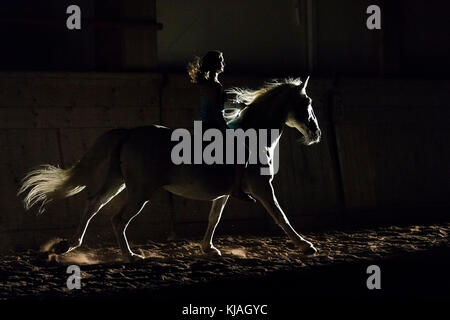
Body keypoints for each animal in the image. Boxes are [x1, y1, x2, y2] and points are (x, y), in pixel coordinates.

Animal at [17, 76, 320, 262]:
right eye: (306, 103)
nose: (315, 133)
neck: (253, 136)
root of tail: (129, 133)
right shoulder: (261, 188)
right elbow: (281, 216)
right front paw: (305, 245)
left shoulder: (224, 194)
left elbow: (214, 219)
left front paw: (209, 249)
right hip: (140, 191)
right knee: (118, 219)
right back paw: (130, 256)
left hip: (118, 183)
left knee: (93, 205)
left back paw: (68, 245)